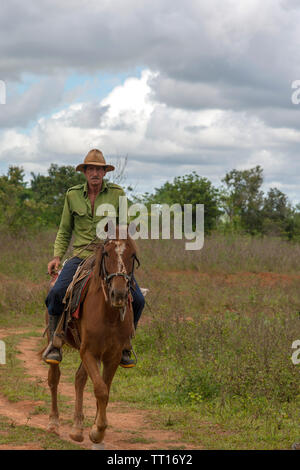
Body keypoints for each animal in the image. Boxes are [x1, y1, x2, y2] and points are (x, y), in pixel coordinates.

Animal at [44, 229, 139, 450]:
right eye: (106, 254)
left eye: (132, 255)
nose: (119, 294)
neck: (109, 314)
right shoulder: (89, 351)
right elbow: (101, 390)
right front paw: (97, 432)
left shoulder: (112, 356)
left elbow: (104, 390)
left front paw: (97, 433)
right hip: (59, 342)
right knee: (54, 378)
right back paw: (54, 423)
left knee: (79, 378)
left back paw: (77, 428)